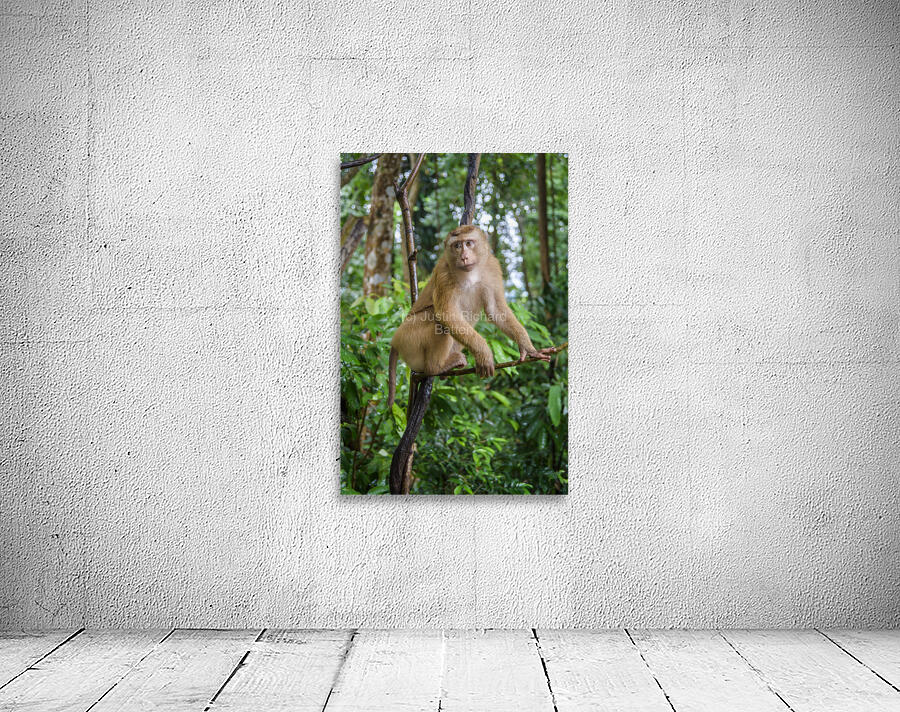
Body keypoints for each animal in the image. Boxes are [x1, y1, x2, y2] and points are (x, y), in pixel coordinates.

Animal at [387, 224, 553, 406]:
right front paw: (484, 353)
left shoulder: (493, 267)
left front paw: (528, 348)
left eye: (468, 243)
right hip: (408, 339)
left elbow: (496, 310)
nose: (464, 257)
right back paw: (436, 367)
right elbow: (447, 314)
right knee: (436, 321)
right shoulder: (444, 272)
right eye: (457, 246)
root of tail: (394, 340)